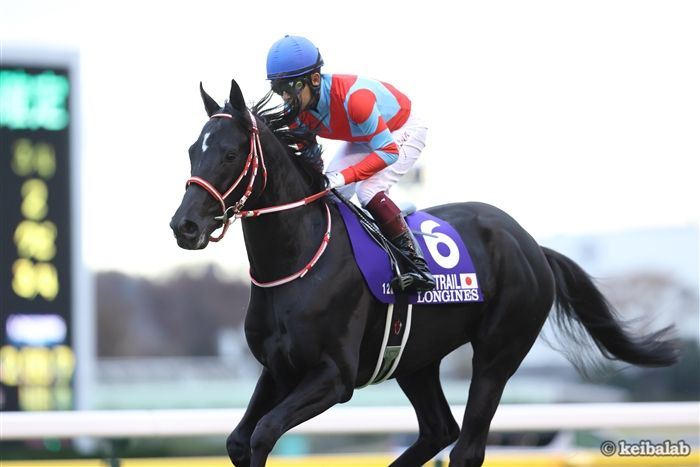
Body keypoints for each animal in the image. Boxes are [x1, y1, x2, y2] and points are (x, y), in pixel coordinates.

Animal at [170, 79, 679, 467]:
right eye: (193, 150)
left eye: (231, 154)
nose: (184, 225)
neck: (298, 261)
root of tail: (531, 244)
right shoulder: (278, 369)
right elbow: (239, 440)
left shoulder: (334, 375)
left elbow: (263, 433)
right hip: (414, 357)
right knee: (439, 430)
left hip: (498, 352)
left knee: (467, 446)